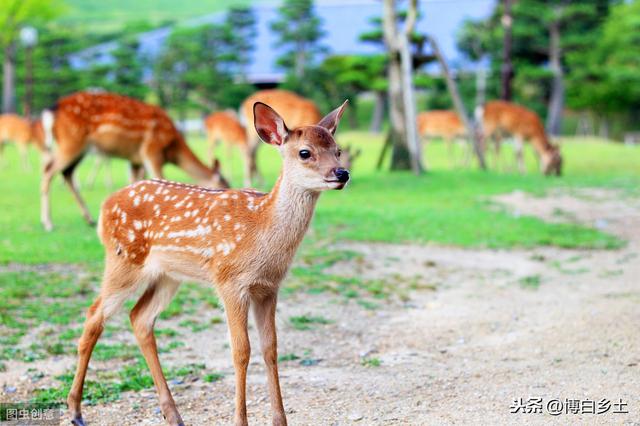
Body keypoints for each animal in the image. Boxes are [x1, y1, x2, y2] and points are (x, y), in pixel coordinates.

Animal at [40, 91, 230, 231]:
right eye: (225, 185)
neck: (172, 148)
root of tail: (52, 110)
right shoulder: (151, 150)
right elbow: (160, 179)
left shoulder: (136, 159)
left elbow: (136, 183)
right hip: (72, 141)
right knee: (48, 170)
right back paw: (48, 223)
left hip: (79, 147)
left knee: (66, 172)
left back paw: (89, 219)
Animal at [65, 99, 350, 426]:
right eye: (305, 152)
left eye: (337, 149)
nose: (342, 173)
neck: (261, 229)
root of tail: (104, 208)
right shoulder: (229, 280)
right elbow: (241, 351)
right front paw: (240, 421)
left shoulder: (268, 287)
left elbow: (271, 348)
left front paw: (280, 421)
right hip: (123, 260)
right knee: (94, 316)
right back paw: (75, 410)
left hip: (168, 275)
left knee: (140, 318)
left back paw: (173, 414)